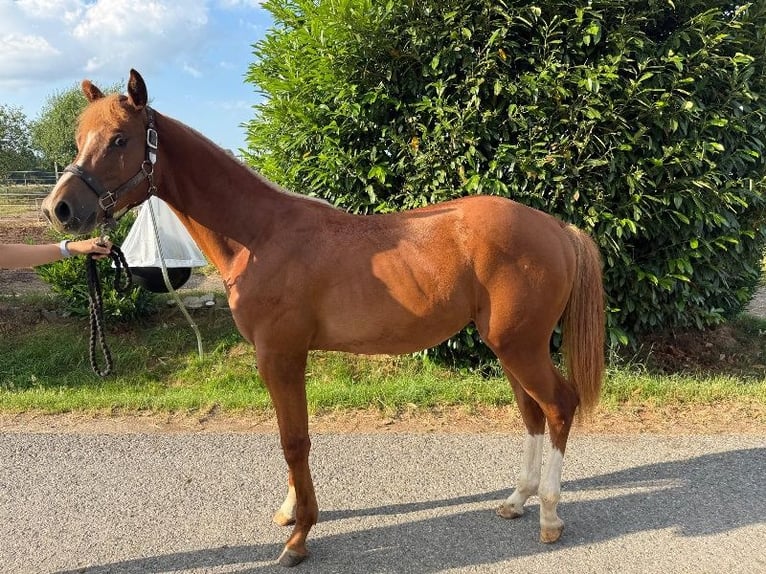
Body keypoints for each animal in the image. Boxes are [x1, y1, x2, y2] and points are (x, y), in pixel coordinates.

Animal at [41, 70, 605, 567]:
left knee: (558, 406)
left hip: (520, 346)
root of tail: (556, 228)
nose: (59, 209)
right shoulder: (281, 359)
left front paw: (299, 537)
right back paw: (516, 500)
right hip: (507, 346)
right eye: (80, 137)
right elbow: (290, 438)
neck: (259, 235)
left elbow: (295, 441)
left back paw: (549, 517)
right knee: (532, 413)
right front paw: (291, 512)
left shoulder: (280, 356)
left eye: (119, 139)